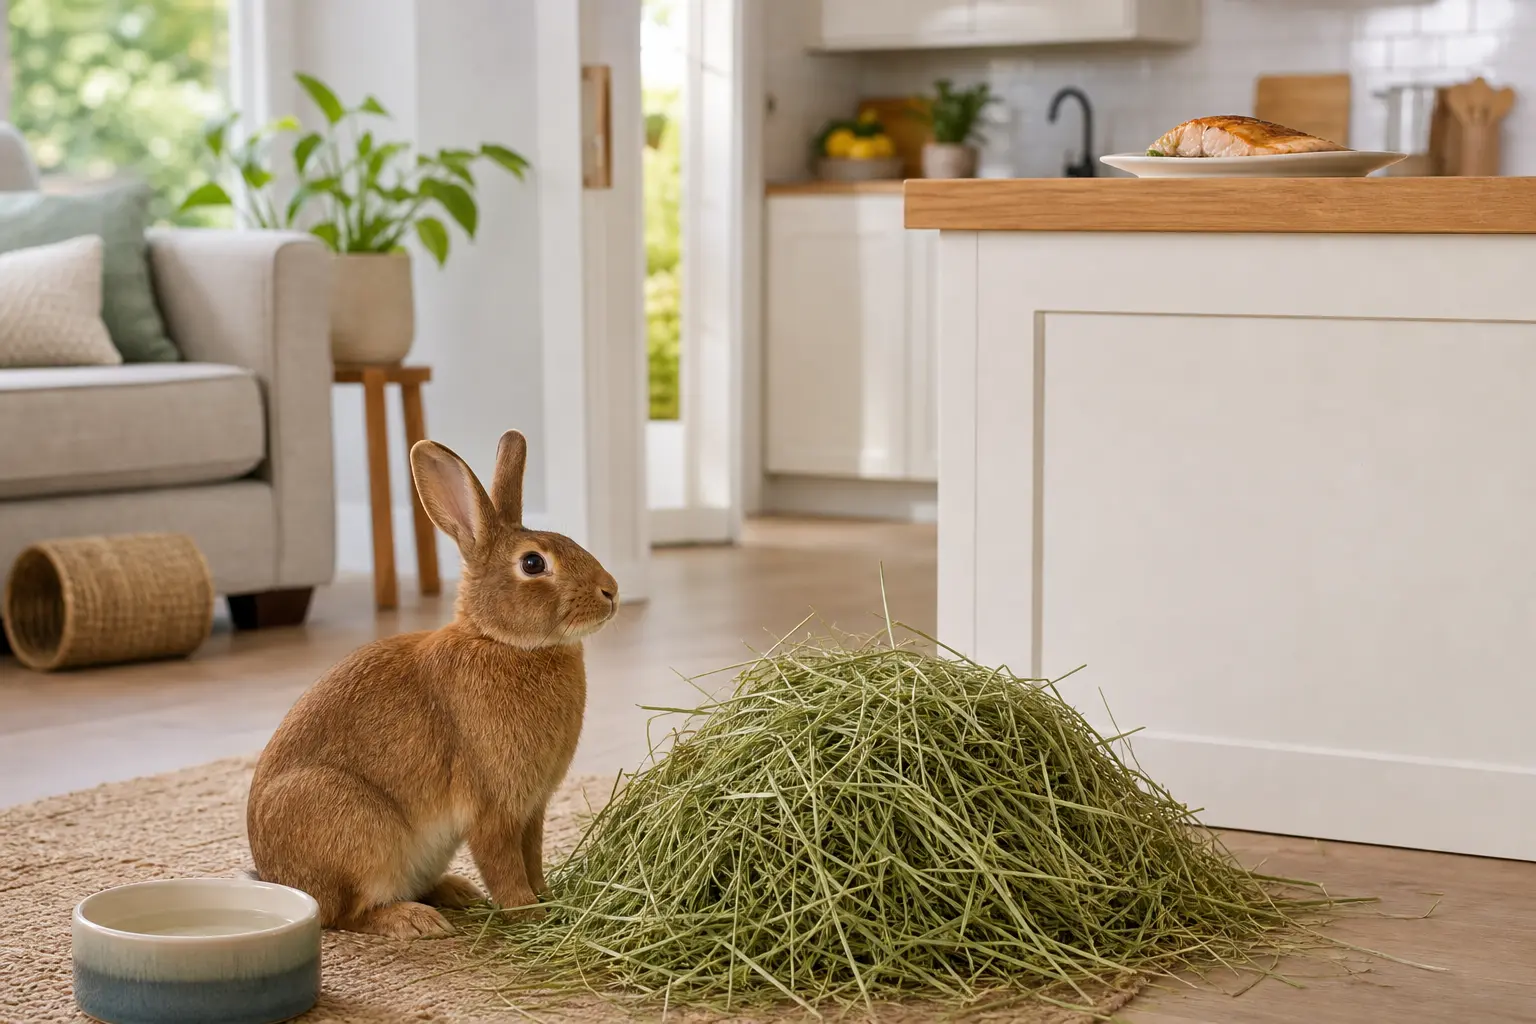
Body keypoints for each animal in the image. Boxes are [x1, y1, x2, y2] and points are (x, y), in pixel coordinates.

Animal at [246, 429, 619, 939]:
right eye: (532, 564)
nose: (612, 591)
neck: (501, 640)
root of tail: (276, 874)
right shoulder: (493, 808)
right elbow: (504, 865)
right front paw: (529, 914)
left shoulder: (532, 809)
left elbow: (532, 856)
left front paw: (548, 898)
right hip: (358, 830)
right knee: (346, 915)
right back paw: (418, 921)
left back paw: (455, 892)